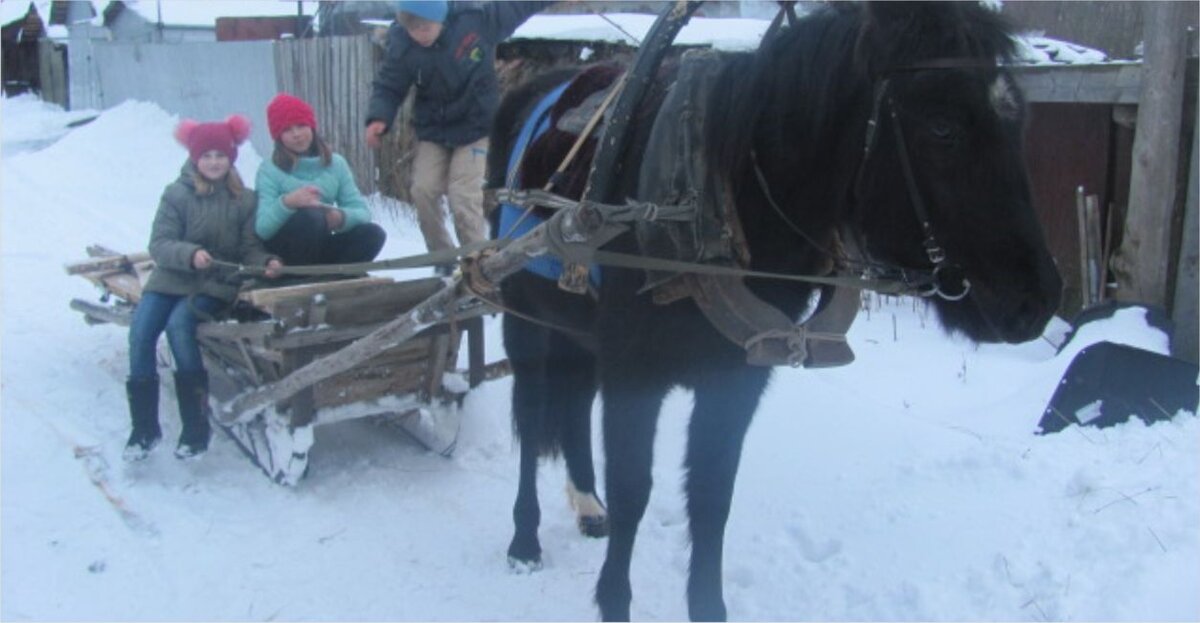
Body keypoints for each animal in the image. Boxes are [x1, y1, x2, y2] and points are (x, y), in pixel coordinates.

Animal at [484, 2, 1060, 619]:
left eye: (1019, 122)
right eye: (943, 128)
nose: (1039, 298)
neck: (714, 201)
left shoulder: (735, 380)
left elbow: (711, 497)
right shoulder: (634, 375)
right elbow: (635, 489)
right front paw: (613, 601)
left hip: (578, 329)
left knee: (571, 406)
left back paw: (589, 506)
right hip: (521, 316)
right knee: (531, 415)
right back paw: (524, 538)